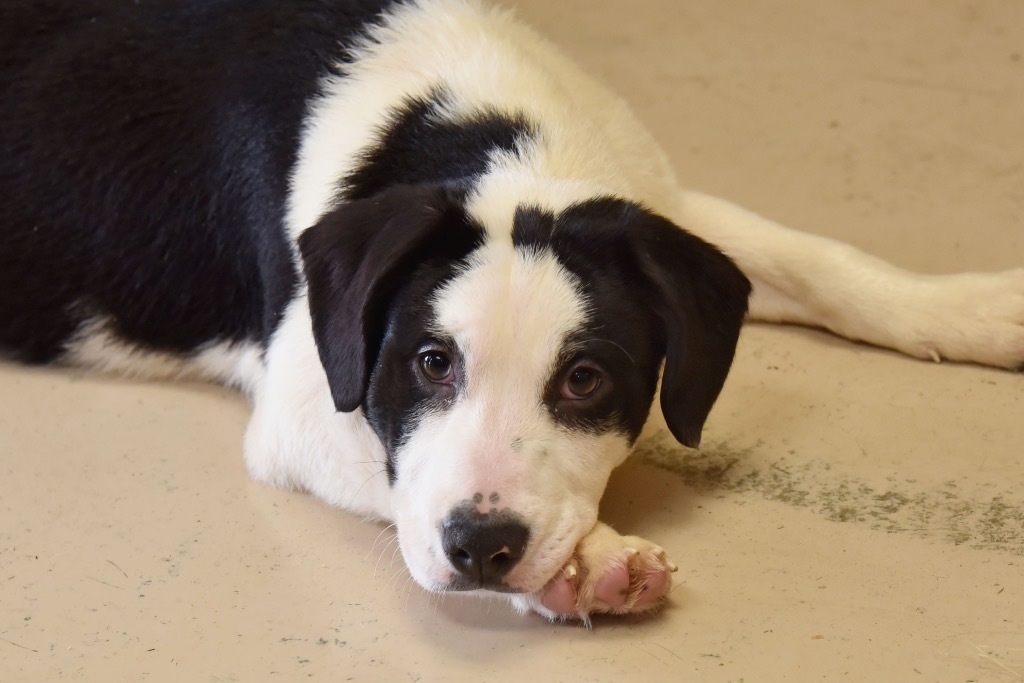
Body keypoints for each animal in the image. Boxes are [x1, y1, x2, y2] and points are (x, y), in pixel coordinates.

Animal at [2, 0, 1024, 622]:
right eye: (430, 362)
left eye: (585, 379)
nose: (482, 550)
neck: (495, 135)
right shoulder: (301, 405)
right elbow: (402, 471)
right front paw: (584, 565)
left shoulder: (658, 208)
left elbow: (819, 259)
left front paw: (970, 307)